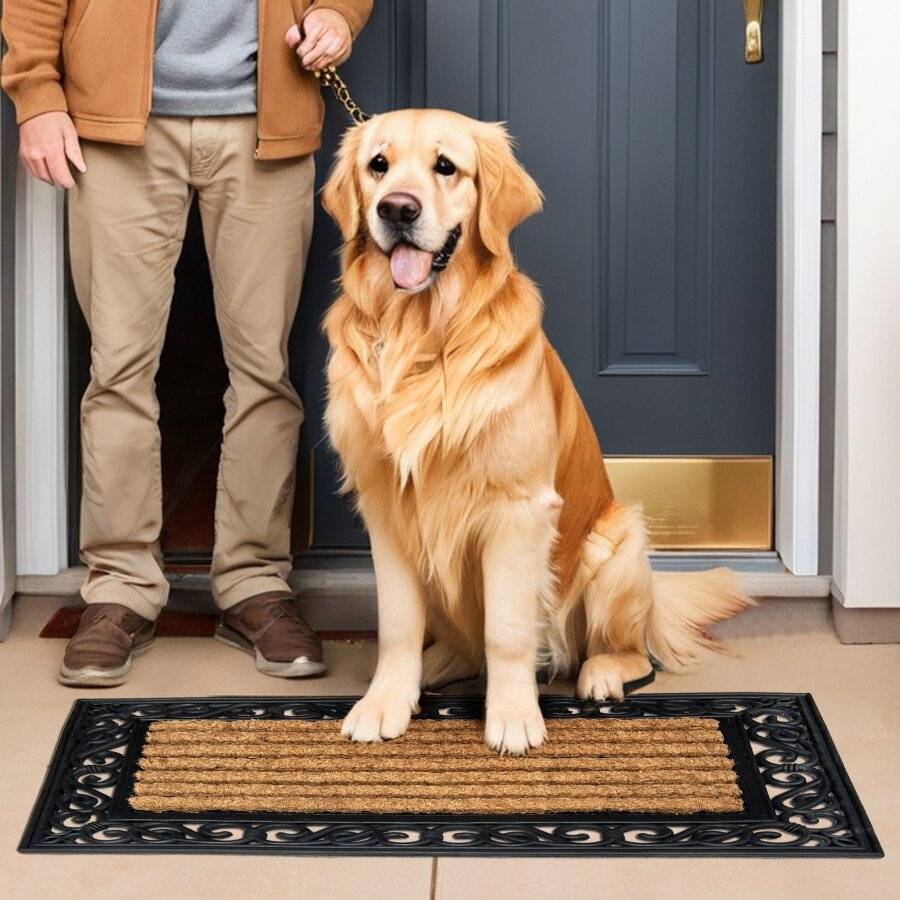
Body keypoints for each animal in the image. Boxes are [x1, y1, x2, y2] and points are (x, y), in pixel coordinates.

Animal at [320, 109, 748, 756]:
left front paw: (514, 717)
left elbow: (507, 632)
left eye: (445, 166)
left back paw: (601, 672)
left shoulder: (518, 511)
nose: (397, 209)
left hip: (617, 545)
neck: (424, 335)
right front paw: (385, 701)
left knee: (624, 650)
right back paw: (434, 667)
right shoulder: (386, 509)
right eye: (378, 165)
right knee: (458, 645)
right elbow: (397, 626)